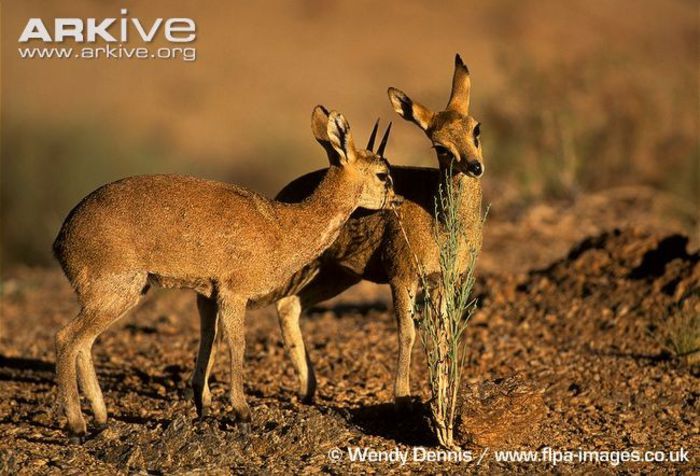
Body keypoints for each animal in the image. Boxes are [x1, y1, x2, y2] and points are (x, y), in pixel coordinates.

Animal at [53, 108, 400, 442]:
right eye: (383, 175)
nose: (396, 201)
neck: (282, 226)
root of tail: (62, 239)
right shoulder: (235, 293)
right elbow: (237, 344)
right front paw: (242, 413)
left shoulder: (207, 296)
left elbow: (210, 339)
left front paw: (203, 406)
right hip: (116, 293)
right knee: (66, 339)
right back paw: (77, 428)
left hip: (123, 295)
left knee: (84, 345)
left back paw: (100, 419)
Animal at [245, 54, 482, 406]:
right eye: (439, 145)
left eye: (476, 129)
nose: (475, 166)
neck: (439, 218)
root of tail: (283, 194)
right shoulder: (402, 276)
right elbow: (408, 332)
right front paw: (403, 395)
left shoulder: (444, 281)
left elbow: (443, 335)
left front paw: (441, 393)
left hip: (339, 275)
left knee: (290, 305)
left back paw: (308, 390)